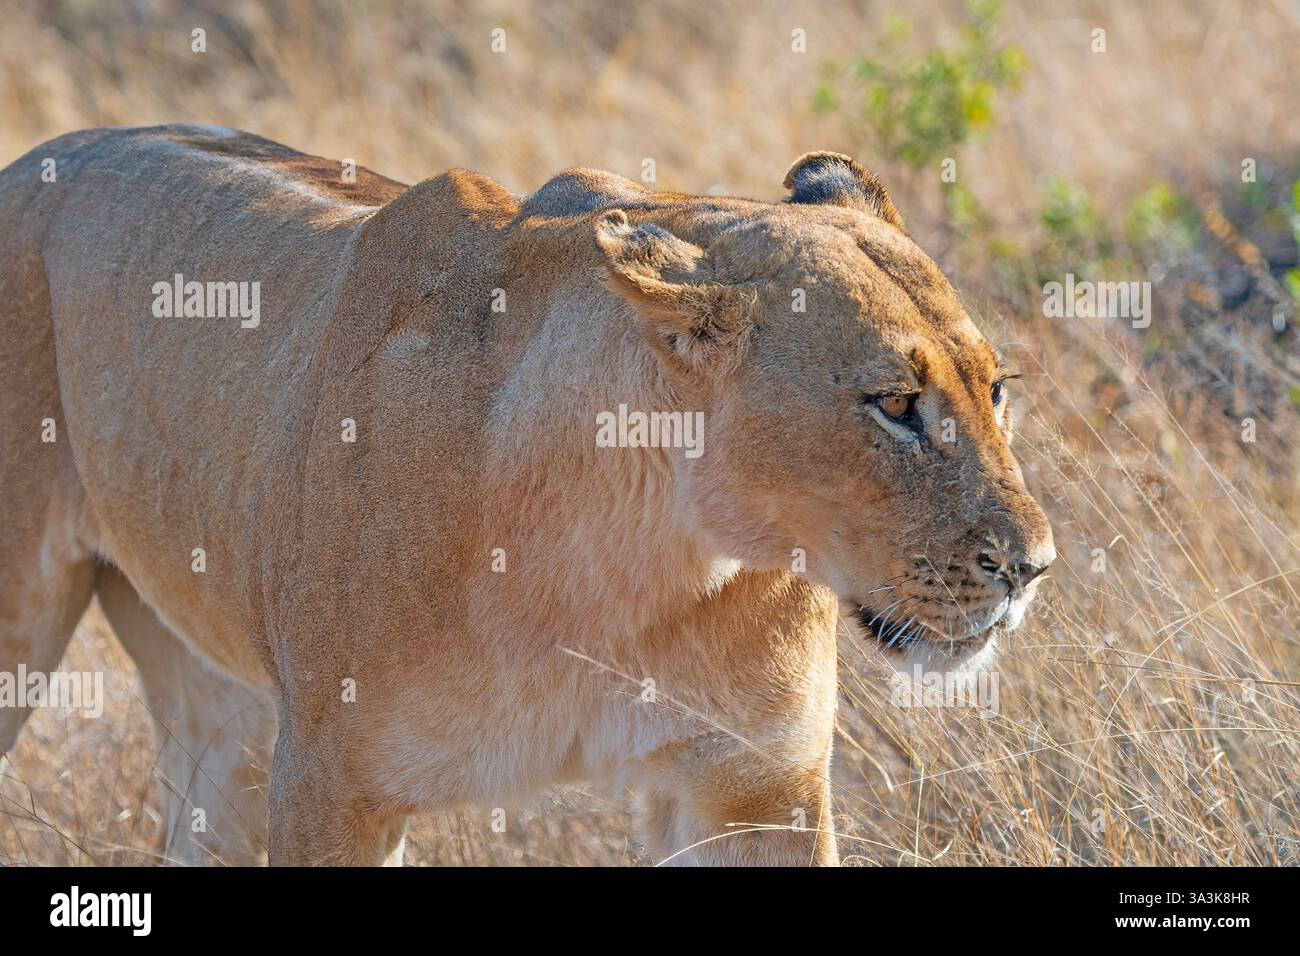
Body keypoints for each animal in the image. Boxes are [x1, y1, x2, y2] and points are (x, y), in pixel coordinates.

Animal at [0, 126, 1053, 866]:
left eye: (997, 389)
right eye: (895, 405)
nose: (1034, 568)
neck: (627, 573)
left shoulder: (757, 788)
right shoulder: (330, 786)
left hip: (220, 702)